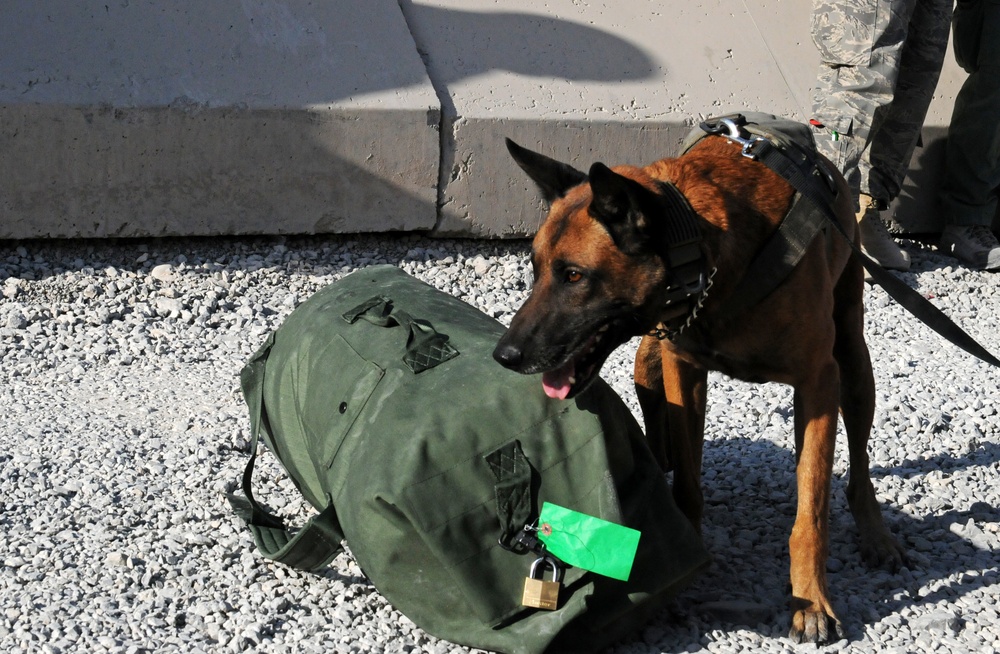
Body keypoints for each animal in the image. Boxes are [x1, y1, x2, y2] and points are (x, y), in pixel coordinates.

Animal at [492, 133, 908, 644]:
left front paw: (811, 600)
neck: (705, 254)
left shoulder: (818, 384)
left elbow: (811, 512)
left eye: (574, 275)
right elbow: (689, 480)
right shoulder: (683, 370)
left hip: (853, 362)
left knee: (859, 464)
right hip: (650, 359)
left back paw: (875, 533)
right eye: (535, 270)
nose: (504, 355)